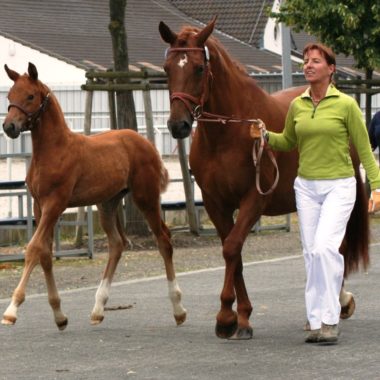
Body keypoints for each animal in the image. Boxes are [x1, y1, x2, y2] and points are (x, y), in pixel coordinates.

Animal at [2, 63, 186, 330]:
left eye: (30, 96)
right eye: (9, 96)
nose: (9, 127)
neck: (54, 150)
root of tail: (147, 143)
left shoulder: (55, 204)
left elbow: (34, 248)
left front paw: (11, 310)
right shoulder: (39, 206)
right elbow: (45, 253)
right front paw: (59, 315)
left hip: (146, 197)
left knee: (163, 239)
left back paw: (178, 309)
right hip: (108, 203)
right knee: (117, 243)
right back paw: (98, 308)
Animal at [159, 17, 366, 338]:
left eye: (199, 67)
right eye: (168, 68)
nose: (177, 125)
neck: (227, 134)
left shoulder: (254, 199)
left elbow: (232, 248)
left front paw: (226, 317)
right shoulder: (216, 204)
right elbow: (234, 255)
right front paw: (241, 317)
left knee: (338, 248)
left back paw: (339, 303)